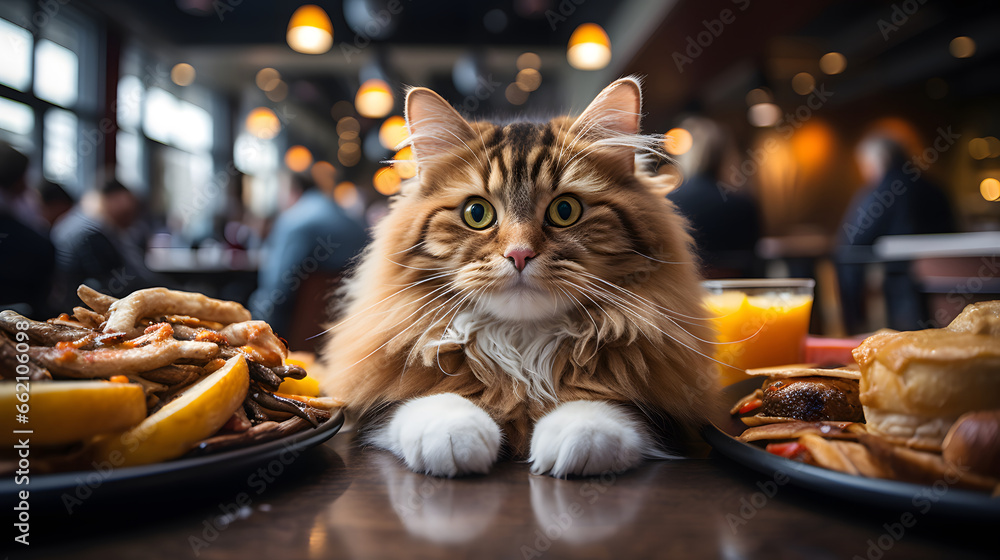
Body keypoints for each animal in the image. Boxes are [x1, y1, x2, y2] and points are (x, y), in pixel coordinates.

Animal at [320, 77, 720, 476]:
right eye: (476, 213)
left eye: (565, 210)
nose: (519, 254)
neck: (521, 345)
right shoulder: (379, 403)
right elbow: (425, 400)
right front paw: (455, 436)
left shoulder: (664, 413)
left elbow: (611, 409)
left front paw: (578, 434)